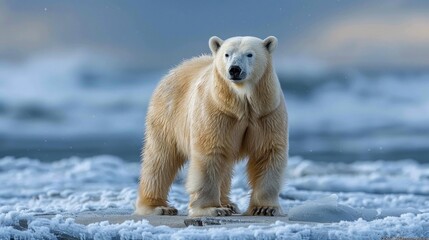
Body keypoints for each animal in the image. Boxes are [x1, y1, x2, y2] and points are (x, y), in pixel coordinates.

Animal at [134, 35, 288, 218]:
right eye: (227, 54)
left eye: (249, 54)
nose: (234, 69)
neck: (241, 103)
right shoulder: (216, 110)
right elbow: (210, 153)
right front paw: (212, 209)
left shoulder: (266, 113)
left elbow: (266, 153)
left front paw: (265, 208)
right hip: (167, 116)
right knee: (160, 158)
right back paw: (158, 207)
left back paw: (229, 204)